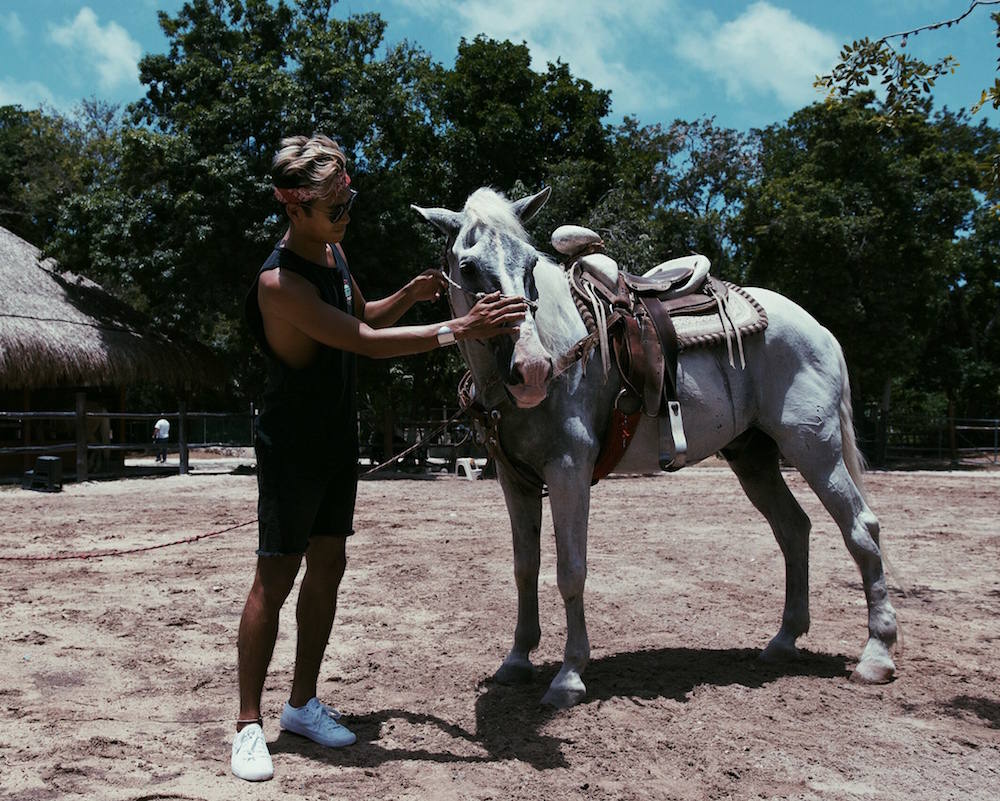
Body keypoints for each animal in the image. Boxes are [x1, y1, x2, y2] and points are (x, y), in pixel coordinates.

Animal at [414, 184, 900, 704]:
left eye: (528, 265)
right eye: (468, 267)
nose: (533, 369)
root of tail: (819, 329)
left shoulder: (568, 471)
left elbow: (570, 569)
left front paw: (569, 676)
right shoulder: (515, 480)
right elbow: (525, 568)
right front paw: (517, 660)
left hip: (814, 448)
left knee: (862, 528)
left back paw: (877, 655)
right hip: (754, 457)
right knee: (794, 529)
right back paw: (784, 641)